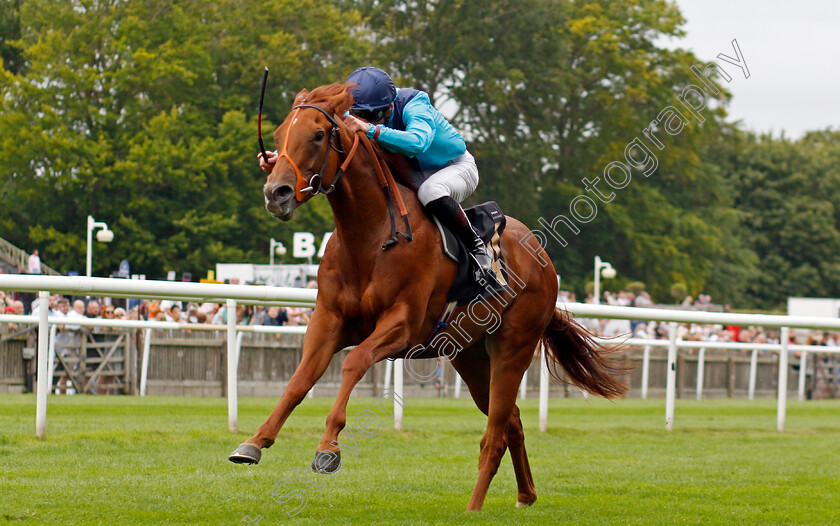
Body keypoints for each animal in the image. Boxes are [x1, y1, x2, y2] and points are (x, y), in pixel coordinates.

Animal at [226, 82, 628, 512]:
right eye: (279, 133)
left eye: (318, 135)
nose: (277, 193)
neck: (369, 237)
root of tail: (543, 260)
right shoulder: (328, 319)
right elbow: (300, 379)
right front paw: (254, 442)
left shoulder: (402, 324)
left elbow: (354, 362)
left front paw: (328, 448)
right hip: (470, 356)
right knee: (512, 422)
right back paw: (525, 495)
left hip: (513, 348)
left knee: (495, 434)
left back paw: (474, 508)